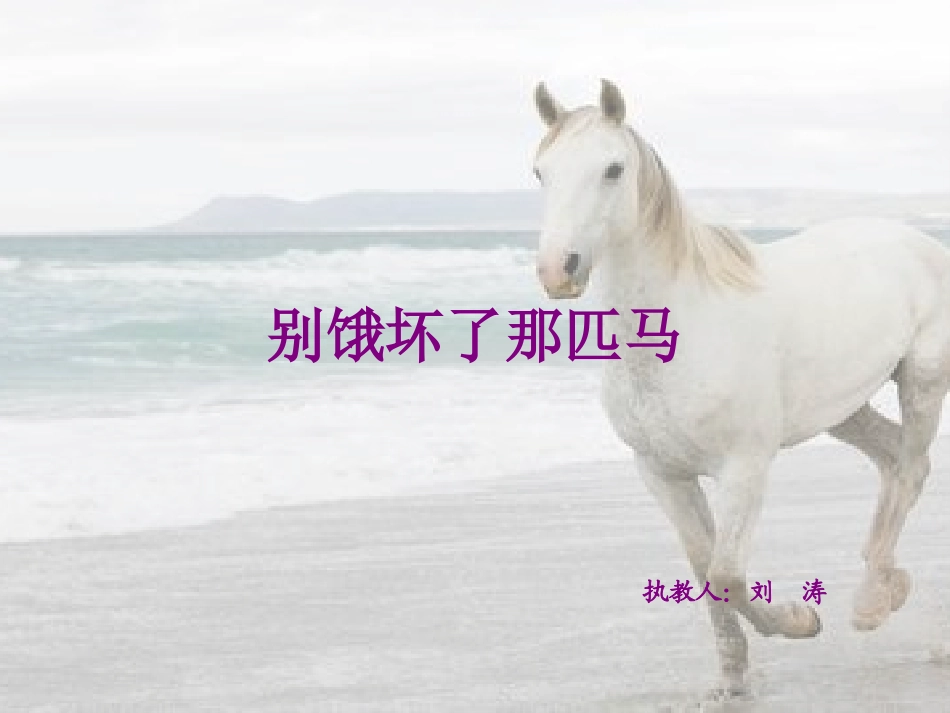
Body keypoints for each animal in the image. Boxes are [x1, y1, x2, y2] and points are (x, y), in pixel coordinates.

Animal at [531, 78, 950, 698]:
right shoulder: (661, 472)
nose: (559, 269)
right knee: (898, 460)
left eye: (612, 169)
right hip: (843, 409)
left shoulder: (745, 467)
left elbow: (725, 574)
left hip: (922, 380)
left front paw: (801, 620)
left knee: (912, 465)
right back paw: (887, 587)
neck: (686, 327)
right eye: (541, 171)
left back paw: (872, 604)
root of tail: (919, 243)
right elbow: (703, 570)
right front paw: (732, 679)